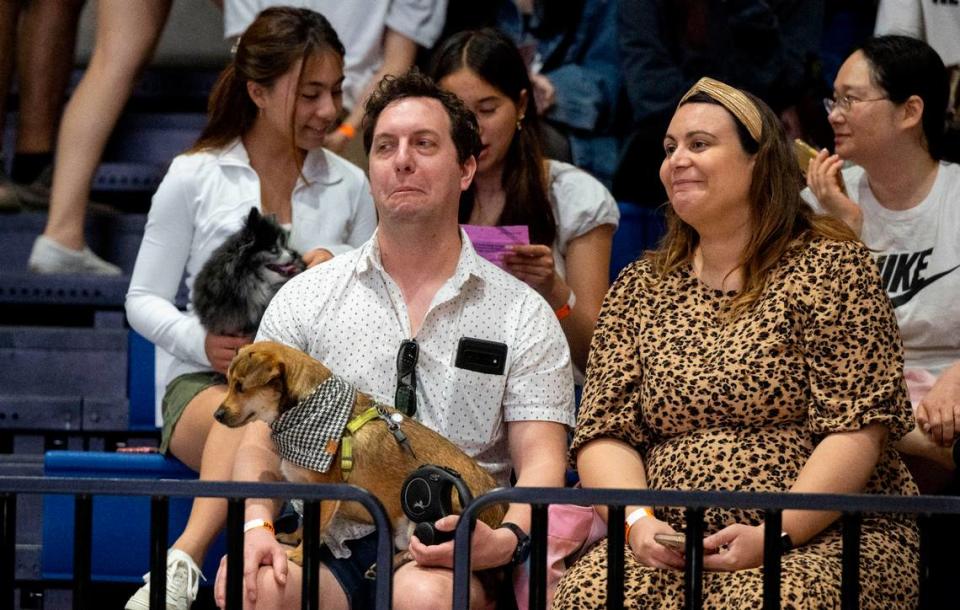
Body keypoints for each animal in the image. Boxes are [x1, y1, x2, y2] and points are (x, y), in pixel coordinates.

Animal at [215, 340, 506, 564]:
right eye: (229, 384)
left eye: (241, 387)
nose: (216, 415)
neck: (303, 412)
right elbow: (305, 525)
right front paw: (293, 537)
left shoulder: (326, 493)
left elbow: (315, 531)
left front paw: (297, 556)